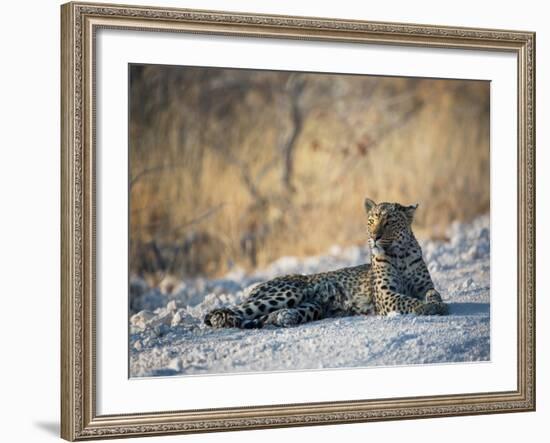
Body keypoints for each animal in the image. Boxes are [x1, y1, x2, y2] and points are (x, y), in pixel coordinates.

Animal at [205, 198, 450, 330]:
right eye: (371, 221)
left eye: (389, 222)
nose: (374, 237)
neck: (399, 254)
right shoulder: (386, 295)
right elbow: (407, 301)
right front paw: (427, 308)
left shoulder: (424, 285)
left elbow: (433, 293)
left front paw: (437, 304)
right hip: (286, 293)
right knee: (225, 311)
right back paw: (225, 318)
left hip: (311, 306)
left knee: (265, 316)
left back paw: (284, 317)